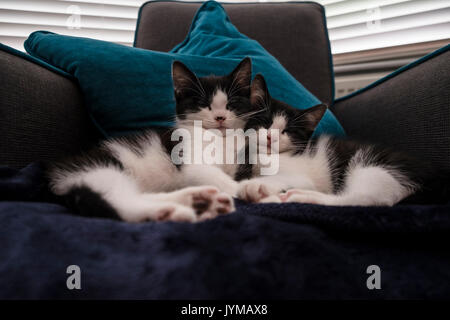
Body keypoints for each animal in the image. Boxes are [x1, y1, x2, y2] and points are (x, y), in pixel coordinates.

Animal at [49, 57, 255, 222]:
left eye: (231, 104)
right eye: (204, 105)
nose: (220, 117)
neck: (221, 138)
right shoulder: (189, 157)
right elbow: (215, 176)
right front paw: (252, 189)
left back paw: (198, 200)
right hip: (100, 168)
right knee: (119, 199)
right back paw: (170, 212)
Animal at [237, 74, 444, 206]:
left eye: (288, 131)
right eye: (265, 122)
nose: (270, 137)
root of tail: (436, 177)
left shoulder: (301, 174)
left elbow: (286, 178)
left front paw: (254, 185)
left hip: (373, 167)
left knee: (365, 200)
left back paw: (302, 197)